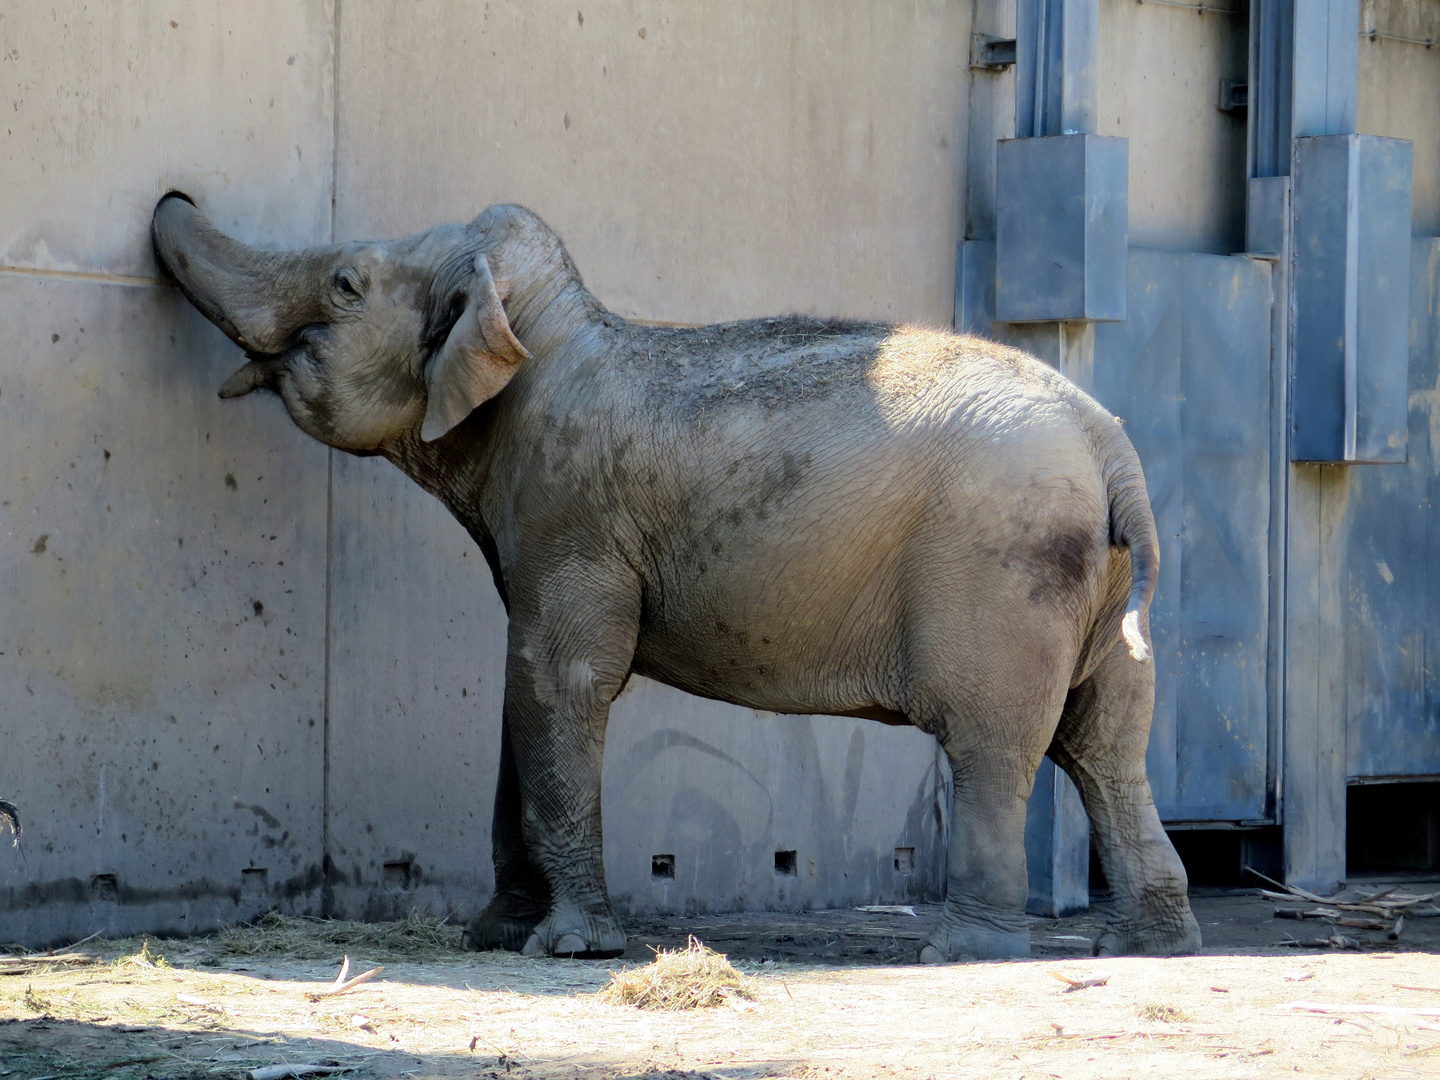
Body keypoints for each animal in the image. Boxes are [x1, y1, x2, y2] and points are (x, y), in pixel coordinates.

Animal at [151, 194, 1198, 961]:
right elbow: (521, 694)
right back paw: (1142, 945)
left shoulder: (573, 512)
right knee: (1107, 748)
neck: (541, 332)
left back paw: (968, 952)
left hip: (1001, 576)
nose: (171, 196)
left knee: (995, 745)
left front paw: (570, 951)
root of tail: (1112, 451)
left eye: (344, 283)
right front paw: (495, 936)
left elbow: (563, 681)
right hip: (1094, 590)